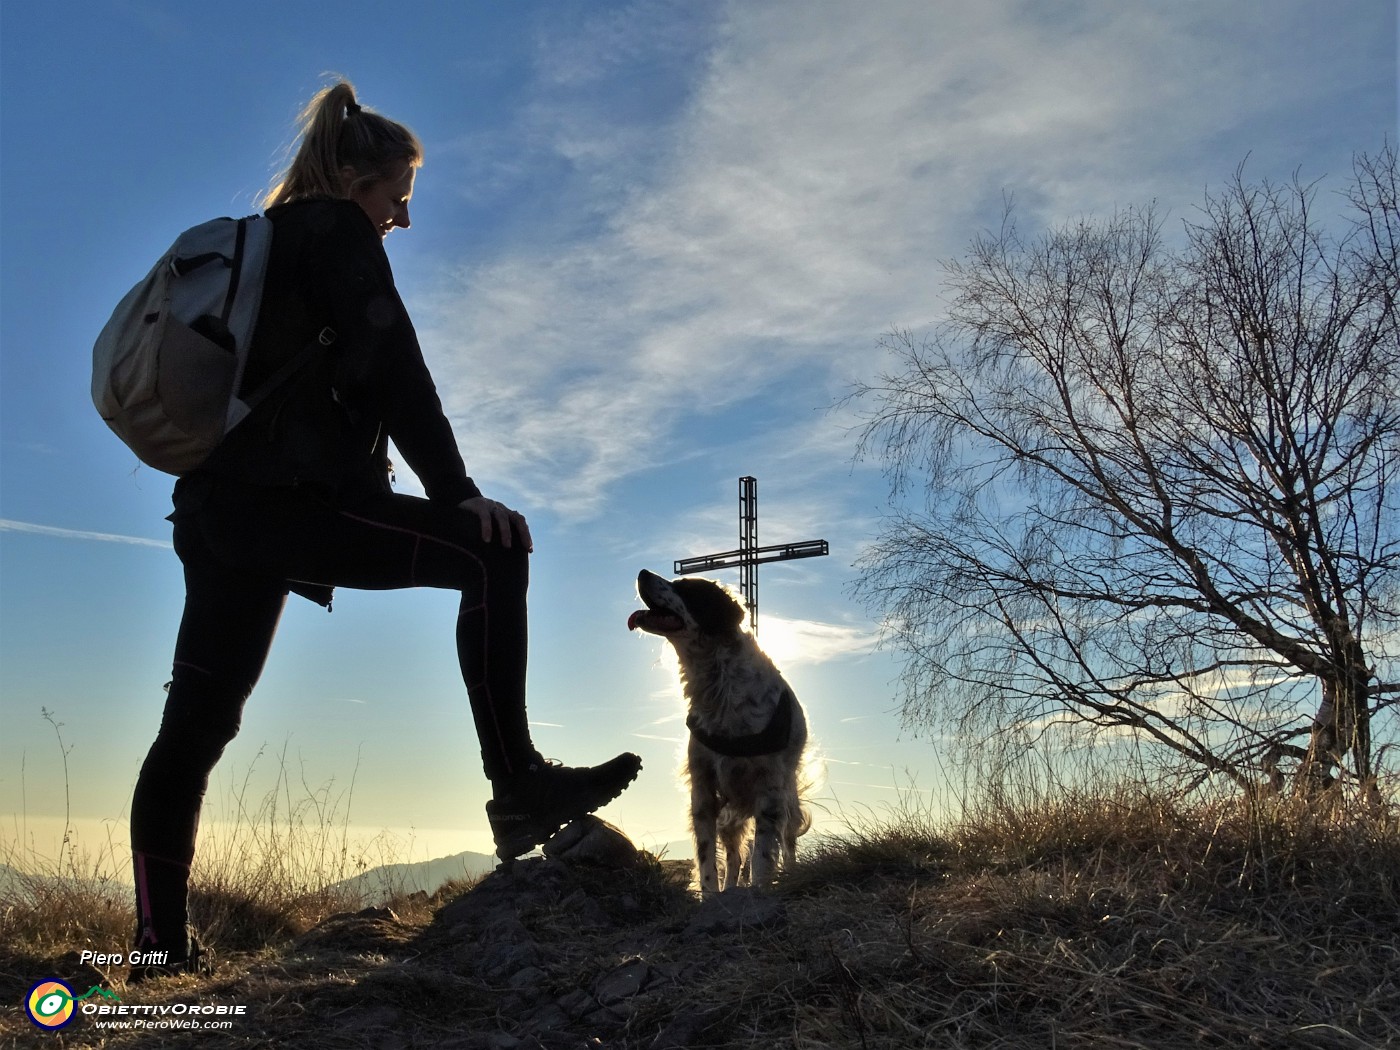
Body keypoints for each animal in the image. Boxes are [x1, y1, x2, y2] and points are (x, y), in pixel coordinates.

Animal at [627, 571, 812, 901]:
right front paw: (712, 895)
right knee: (735, 856)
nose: (642, 573)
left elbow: (762, 854)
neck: (719, 687)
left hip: (787, 797)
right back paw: (731, 888)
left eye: (686, 588)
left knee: (787, 840)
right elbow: (707, 857)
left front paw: (759, 889)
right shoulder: (703, 788)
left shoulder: (770, 790)